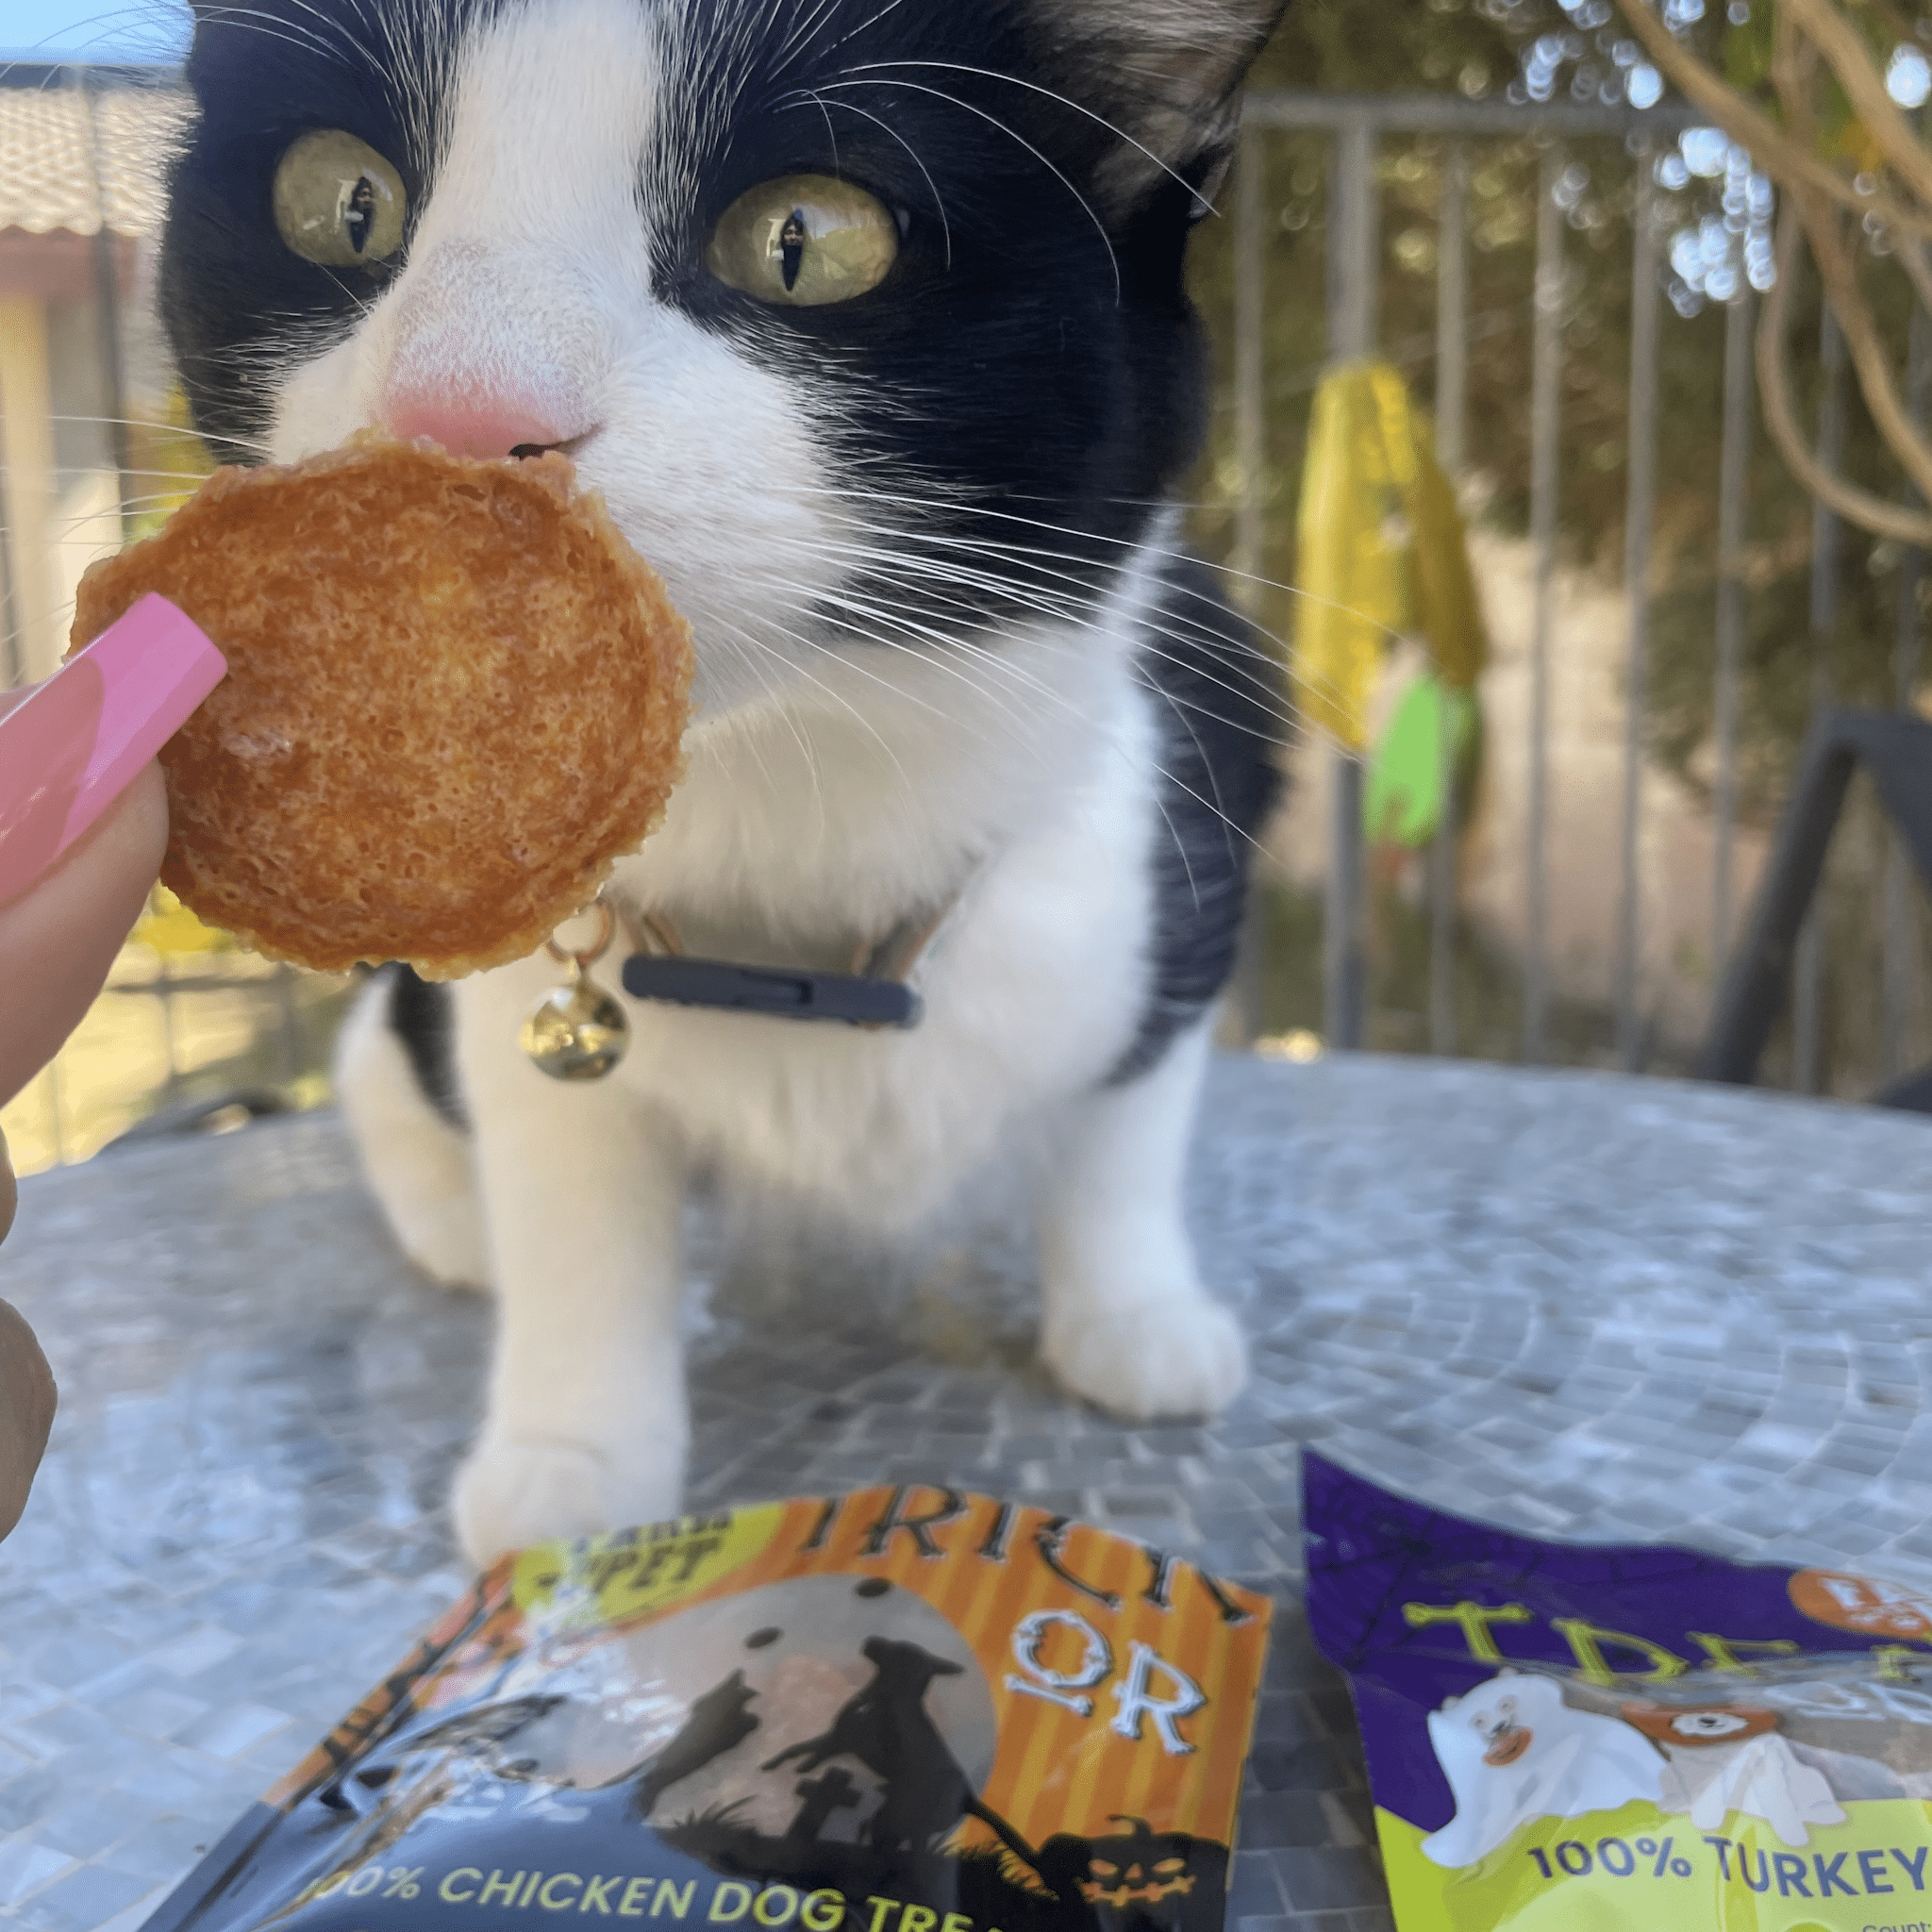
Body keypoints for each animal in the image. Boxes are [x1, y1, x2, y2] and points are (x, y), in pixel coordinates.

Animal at [158, 0, 1291, 1560]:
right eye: (343, 200)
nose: (457, 412)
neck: (790, 819)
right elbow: (569, 1198)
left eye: (804, 240)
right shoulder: (524, 991)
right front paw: (573, 1454)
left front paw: (1135, 1316)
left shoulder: (1187, 826)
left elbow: (1129, 1120)